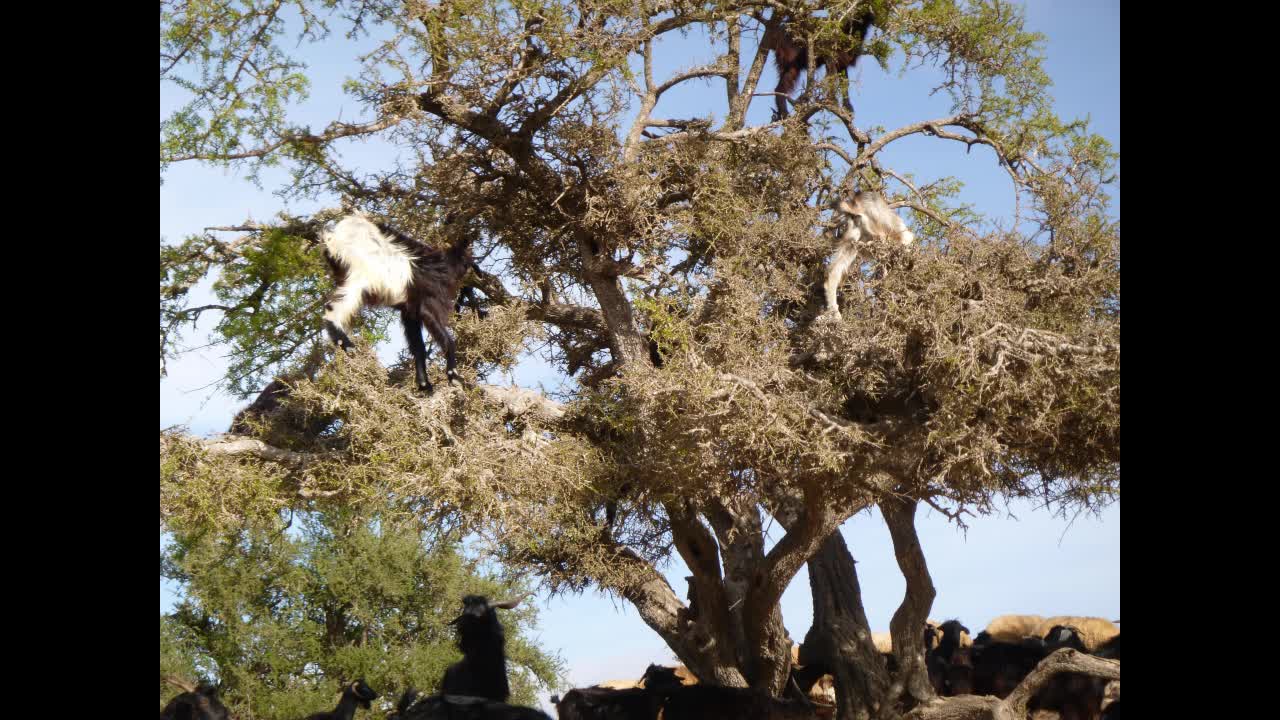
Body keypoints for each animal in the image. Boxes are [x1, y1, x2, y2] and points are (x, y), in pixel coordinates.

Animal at [322, 211, 478, 392]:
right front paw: (454, 377)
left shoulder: (409, 312)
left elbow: (418, 347)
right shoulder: (428, 304)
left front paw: (424, 384)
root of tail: (335, 237)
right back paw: (347, 345)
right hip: (361, 276)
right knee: (333, 308)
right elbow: (447, 340)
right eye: (470, 261)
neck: (443, 267)